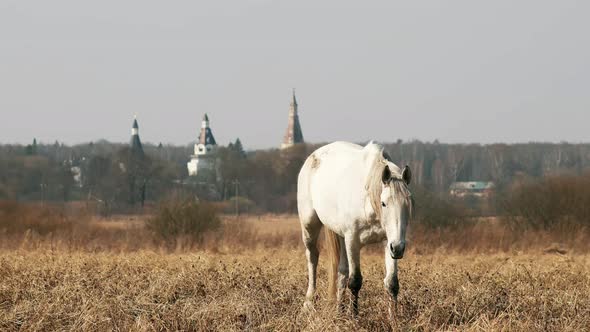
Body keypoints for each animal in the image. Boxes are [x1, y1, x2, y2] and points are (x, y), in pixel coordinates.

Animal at [298, 141, 414, 316]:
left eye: (408, 204)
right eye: (384, 203)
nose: (399, 248)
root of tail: (313, 156)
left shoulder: (388, 241)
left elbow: (392, 282)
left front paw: (393, 318)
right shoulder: (353, 241)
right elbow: (355, 281)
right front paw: (354, 316)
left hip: (341, 235)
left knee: (341, 271)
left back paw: (339, 310)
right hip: (309, 226)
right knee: (312, 257)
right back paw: (309, 302)